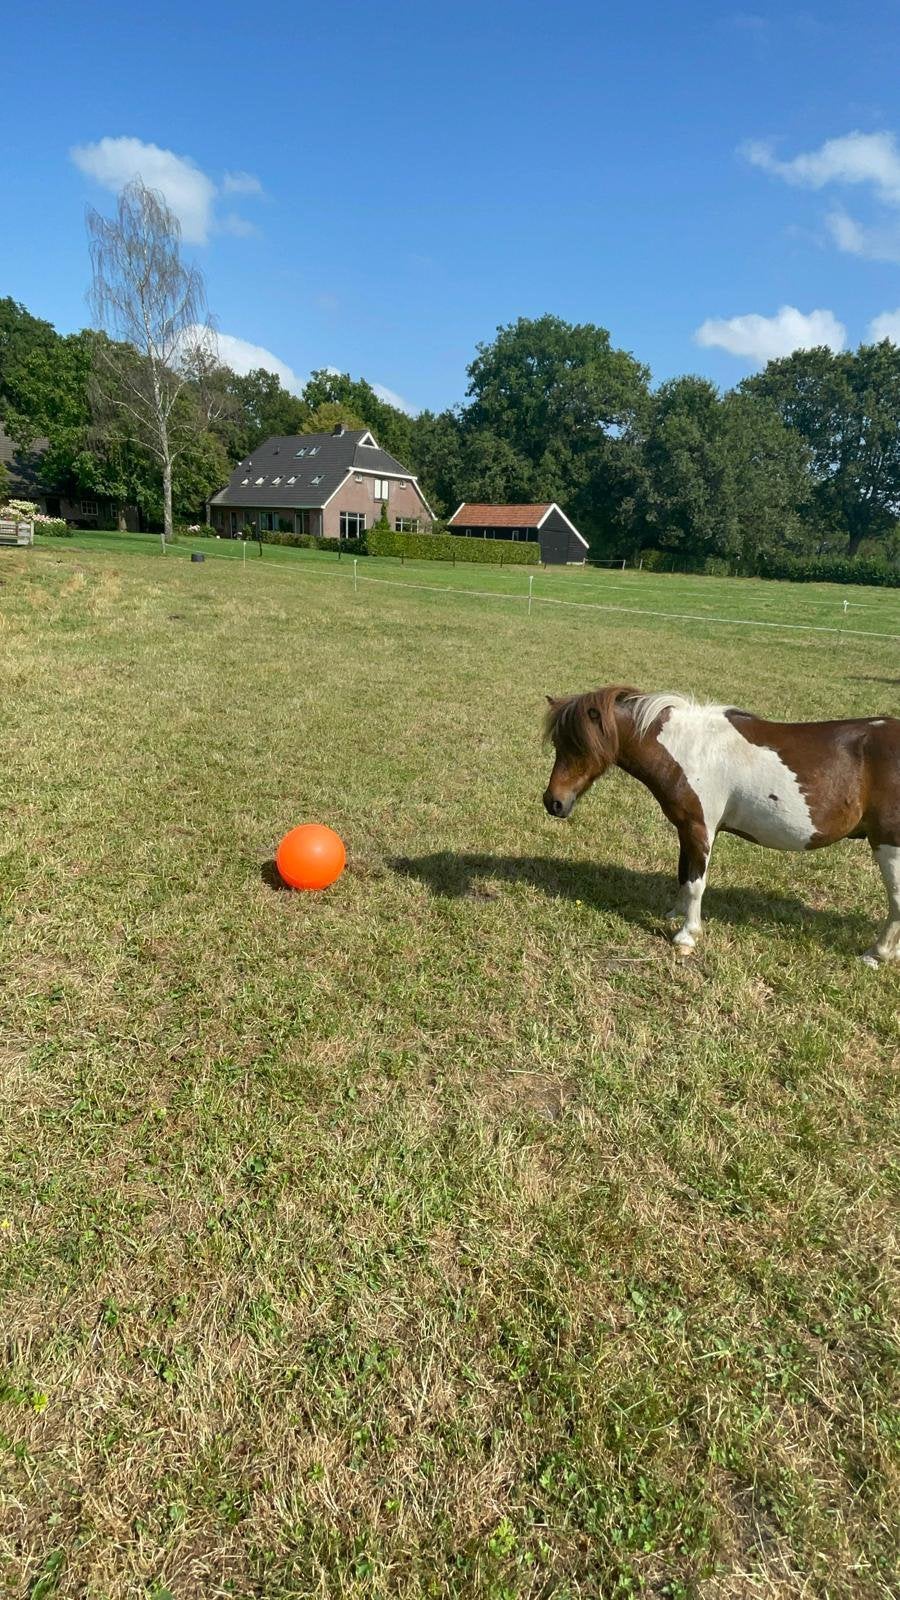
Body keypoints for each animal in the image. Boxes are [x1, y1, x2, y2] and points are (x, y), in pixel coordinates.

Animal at [543, 687, 900, 964]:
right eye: (558, 744)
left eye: (579, 745)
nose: (553, 802)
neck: (689, 750)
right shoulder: (685, 829)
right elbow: (683, 875)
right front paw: (675, 914)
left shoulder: (700, 829)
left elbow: (696, 882)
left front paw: (687, 936)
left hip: (889, 845)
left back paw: (877, 954)